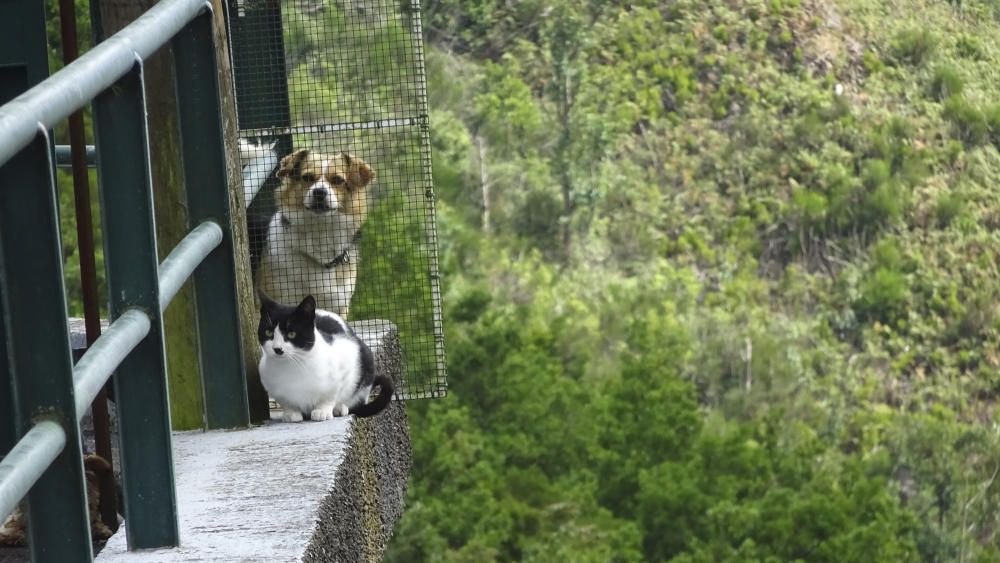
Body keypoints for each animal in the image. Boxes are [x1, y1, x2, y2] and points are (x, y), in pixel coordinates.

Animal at [256, 294, 392, 420]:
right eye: (268, 332)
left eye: (291, 334)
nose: (277, 349)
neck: (292, 366)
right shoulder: (271, 384)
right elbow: (287, 402)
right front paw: (291, 413)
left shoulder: (347, 358)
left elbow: (329, 396)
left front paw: (323, 411)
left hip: (366, 362)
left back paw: (340, 408)